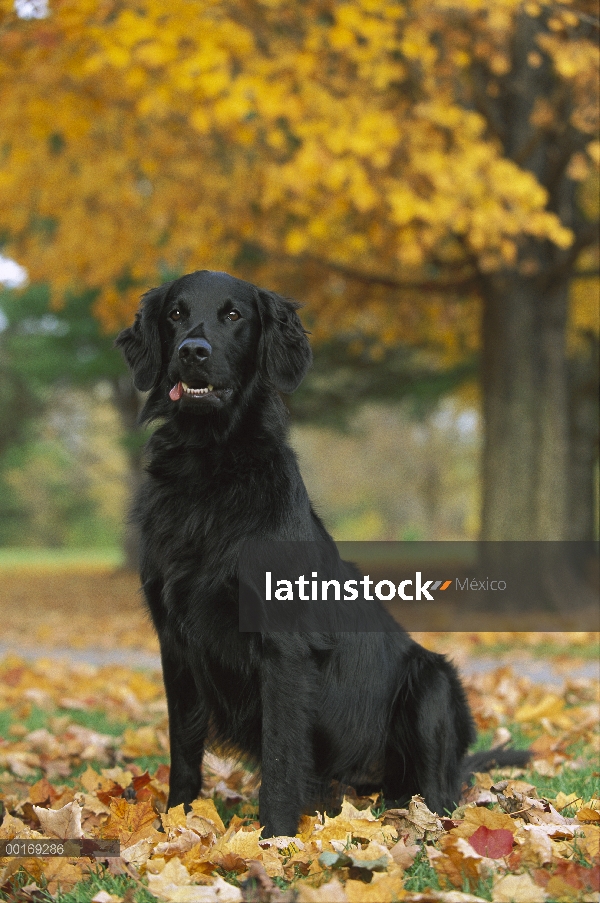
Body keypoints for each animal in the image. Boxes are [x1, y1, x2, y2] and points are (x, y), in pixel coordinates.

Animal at [115, 270, 528, 840]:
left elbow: (282, 757)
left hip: (433, 682)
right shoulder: (175, 645)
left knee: (440, 795)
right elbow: (183, 752)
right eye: (175, 314)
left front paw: (275, 841)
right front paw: (174, 825)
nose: (192, 351)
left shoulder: (283, 649)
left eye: (233, 315)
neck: (211, 467)